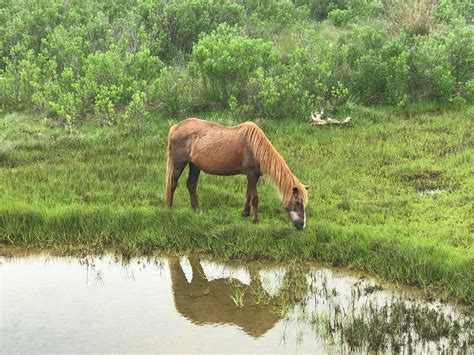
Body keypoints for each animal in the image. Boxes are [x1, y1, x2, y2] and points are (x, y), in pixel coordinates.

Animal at [165, 119, 310, 231]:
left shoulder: (253, 176)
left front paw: (245, 214)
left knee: (191, 185)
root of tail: (175, 127)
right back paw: (169, 209)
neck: (256, 148)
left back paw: (197, 210)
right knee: (173, 184)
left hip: (194, 165)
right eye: (297, 202)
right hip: (179, 164)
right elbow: (255, 198)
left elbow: (248, 195)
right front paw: (256, 221)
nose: (302, 226)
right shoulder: (251, 174)